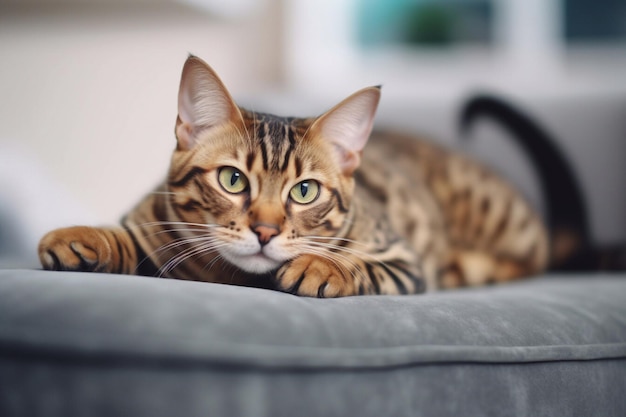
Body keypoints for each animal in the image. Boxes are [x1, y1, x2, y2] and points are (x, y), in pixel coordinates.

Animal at [36, 55, 552, 296]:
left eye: (304, 191)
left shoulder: (404, 258)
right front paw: (86, 237)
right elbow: (129, 237)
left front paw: (320, 265)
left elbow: (357, 262)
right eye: (232, 180)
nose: (265, 230)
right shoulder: (155, 226)